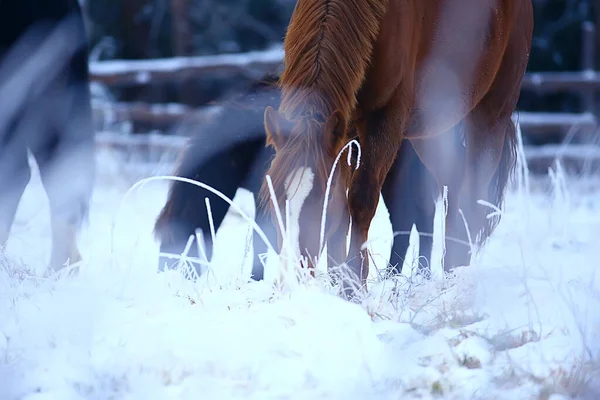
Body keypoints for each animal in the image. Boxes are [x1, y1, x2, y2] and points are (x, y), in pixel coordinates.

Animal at [260, 0, 532, 296]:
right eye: (274, 197)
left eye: (323, 201)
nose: (290, 279)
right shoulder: (343, 129)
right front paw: (338, 282)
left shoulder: (386, 119)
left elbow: (361, 199)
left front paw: (353, 285)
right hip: (431, 128)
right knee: (454, 185)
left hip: (491, 114)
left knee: (473, 190)